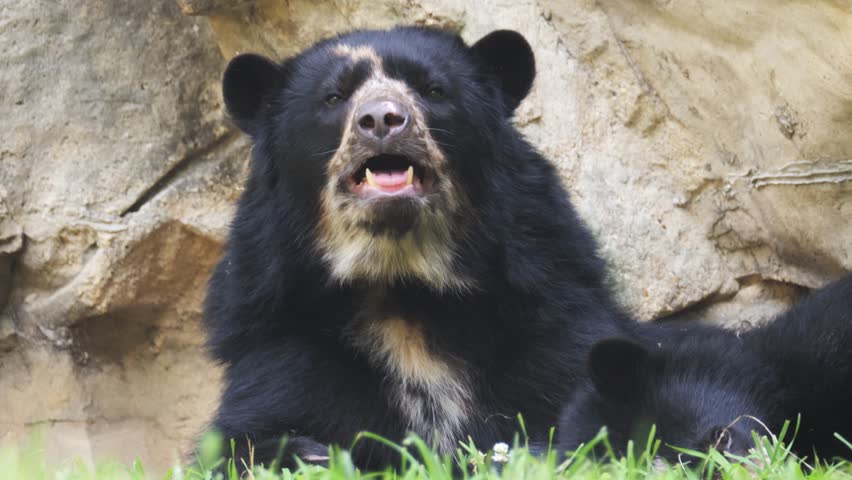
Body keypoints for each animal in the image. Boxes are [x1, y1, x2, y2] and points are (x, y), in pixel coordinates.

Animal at [203, 26, 636, 468]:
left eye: (433, 90)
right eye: (333, 97)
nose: (382, 119)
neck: (403, 287)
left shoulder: (551, 304)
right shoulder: (279, 342)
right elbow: (247, 437)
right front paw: (306, 452)